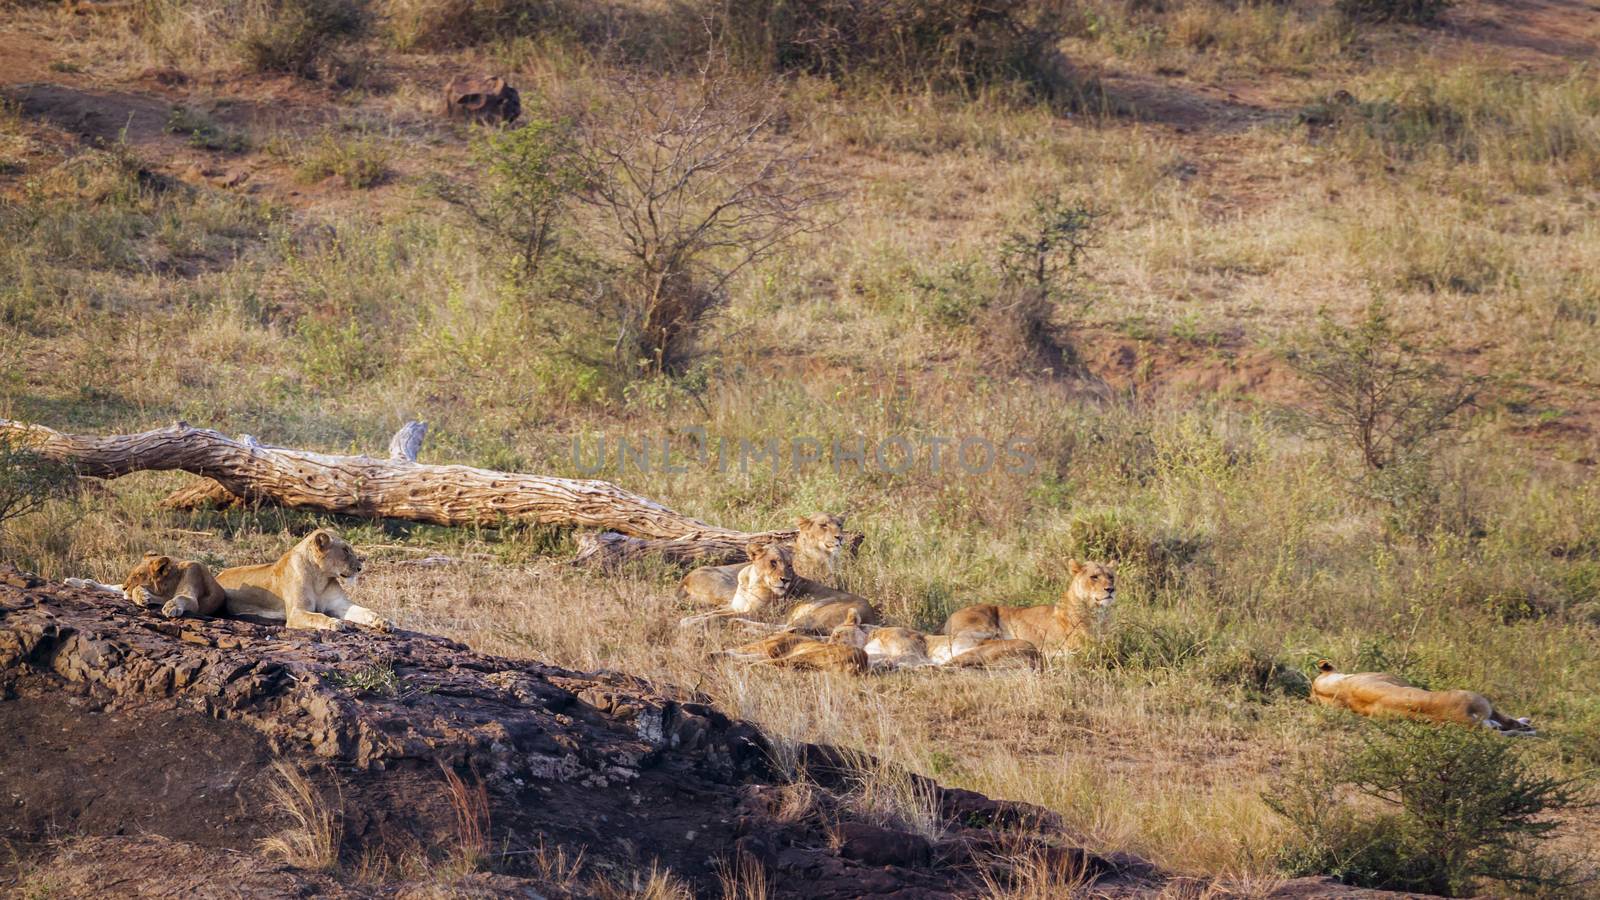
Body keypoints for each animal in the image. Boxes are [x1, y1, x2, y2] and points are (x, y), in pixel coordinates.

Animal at [216, 525, 387, 630]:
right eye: (345, 550)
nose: (360, 568)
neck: (320, 578)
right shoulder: (296, 612)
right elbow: (317, 616)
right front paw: (334, 622)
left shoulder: (339, 604)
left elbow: (364, 611)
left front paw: (383, 621)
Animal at [934, 557, 1113, 646]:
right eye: (1094, 577)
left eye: (1111, 576)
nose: (1111, 589)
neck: (1097, 613)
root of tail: (948, 619)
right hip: (985, 627)